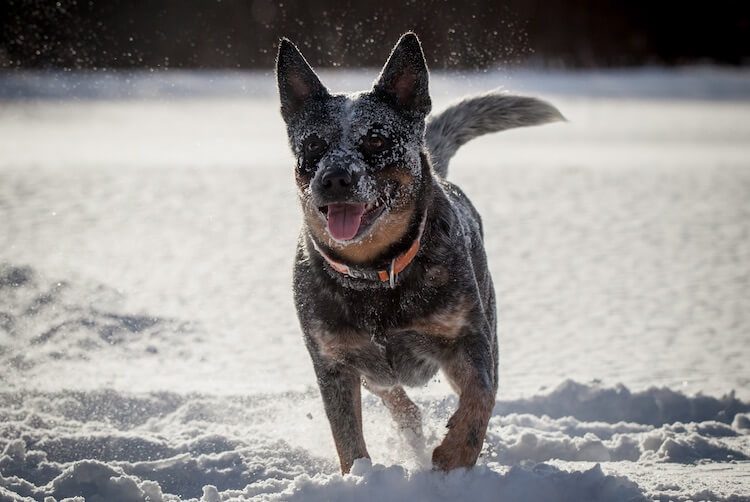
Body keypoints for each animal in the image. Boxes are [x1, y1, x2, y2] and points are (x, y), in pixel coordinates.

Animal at [278, 33, 564, 472]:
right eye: (313, 144)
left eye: (376, 138)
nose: (334, 178)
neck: (375, 276)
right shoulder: (333, 361)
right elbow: (347, 437)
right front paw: (360, 476)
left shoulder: (468, 338)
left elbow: (481, 394)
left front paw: (454, 456)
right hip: (373, 372)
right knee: (400, 403)